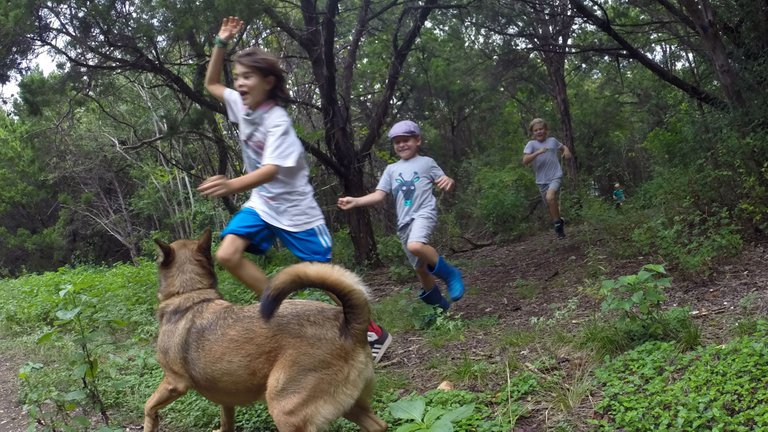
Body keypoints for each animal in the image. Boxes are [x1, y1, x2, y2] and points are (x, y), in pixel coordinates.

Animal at [142, 230, 388, 432]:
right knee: (378, 425)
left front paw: (151, 424)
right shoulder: (226, 399)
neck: (190, 293)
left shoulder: (174, 383)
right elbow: (226, 423)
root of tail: (350, 324)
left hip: (286, 410)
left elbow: (148, 405)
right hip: (349, 405)